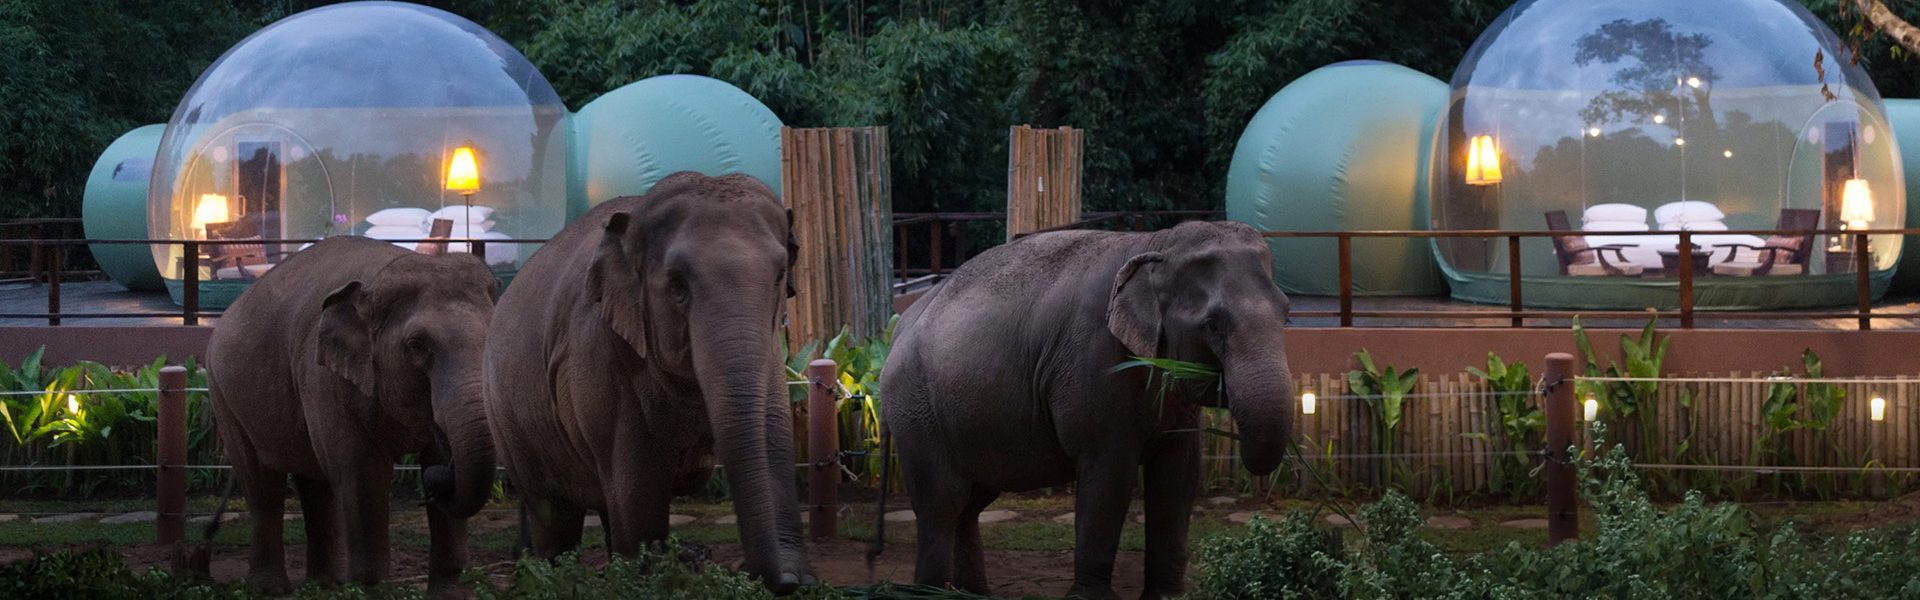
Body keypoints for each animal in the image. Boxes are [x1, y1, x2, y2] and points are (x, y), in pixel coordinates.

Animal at [206, 236, 499, 596]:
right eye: (417, 346)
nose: (437, 484)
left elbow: (433, 457)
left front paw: (449, 595)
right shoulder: (323, 377)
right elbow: (361, 471)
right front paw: (373, 590)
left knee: (314, 482)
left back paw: (325, 585)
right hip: (224, 394)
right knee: (262, 484)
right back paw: (272, 589)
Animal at [483, 172, 813, 592]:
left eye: (778, 278)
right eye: (677, 287)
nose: (777, 580)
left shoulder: (774, 350)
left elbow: (771, 435)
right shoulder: (598, 353)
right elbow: (637, 486)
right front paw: (653, 581)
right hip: (508, 419)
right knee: (554, 512)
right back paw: (552, 576)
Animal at [878, 221, 1295, 600]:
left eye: (1287, 314)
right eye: (1213, 324)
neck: (1155, 243)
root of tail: (896, 329)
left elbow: (1178, 475)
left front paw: (1167, 597)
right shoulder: (1092, 361)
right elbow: (1109, 475)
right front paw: (1092, 597)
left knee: (971, 503)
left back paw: (975, 595)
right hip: (915, 412)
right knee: (941, 503)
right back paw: (929, 592)